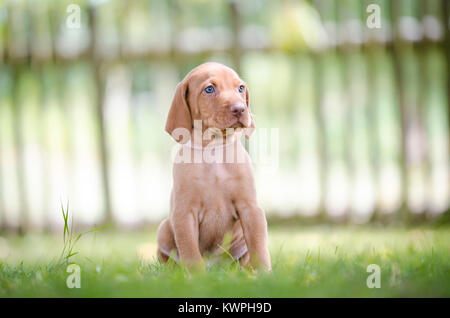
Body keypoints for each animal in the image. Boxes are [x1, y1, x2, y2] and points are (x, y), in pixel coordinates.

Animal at [156, 62, 272, 270]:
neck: (213, 150)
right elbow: (190, 250)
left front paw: (265, 273)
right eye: (209, 89)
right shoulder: (184, 214)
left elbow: (259, 246)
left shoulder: (251, 208)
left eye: (240, 88)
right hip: (164, 228)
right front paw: (197, 275)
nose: (240, 109)